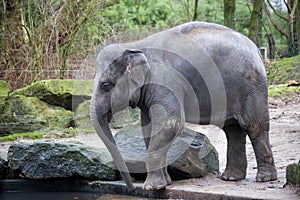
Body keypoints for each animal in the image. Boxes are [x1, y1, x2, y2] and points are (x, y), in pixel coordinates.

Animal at [90, 21, 278, 191]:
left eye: (105, 86)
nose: (131, 190)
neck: (134, 46)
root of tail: (257, 50)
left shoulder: (166, 82)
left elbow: (170, 123)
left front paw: (151, 188)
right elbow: (148, 128)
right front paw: (166, 183)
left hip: (251, 87)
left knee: (254, 126)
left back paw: (264, 179)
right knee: (233, 130)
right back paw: (231, 178)